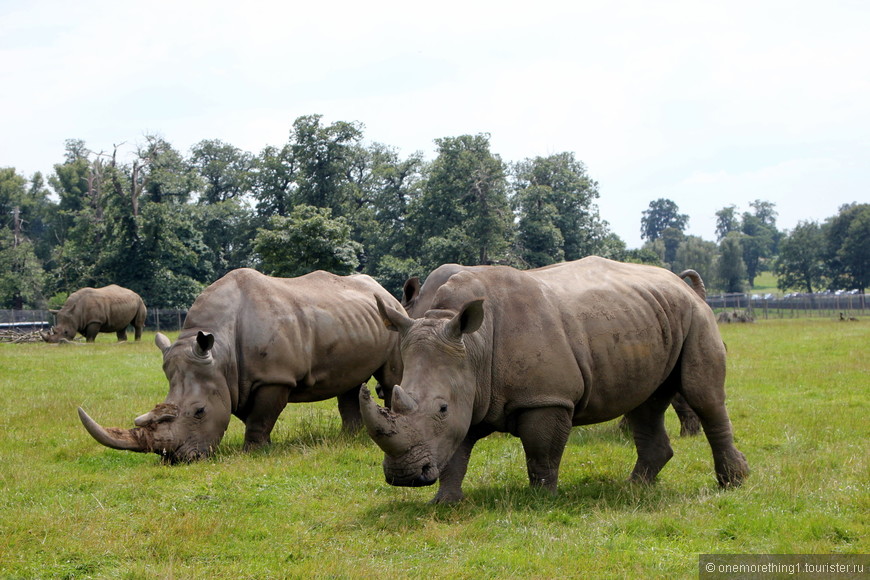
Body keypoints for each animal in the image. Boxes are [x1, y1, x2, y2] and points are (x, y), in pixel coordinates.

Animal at [76, 268, 404, 462]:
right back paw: (347, 438)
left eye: (199, 412)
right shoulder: (236, 380)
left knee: (389, 378)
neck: (221, 352)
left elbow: (261, 416)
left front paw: (253, 452)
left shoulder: (274, 377)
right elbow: (250, 414)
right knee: (349, 383)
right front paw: (261, 445)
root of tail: (384, 290)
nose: (175, 459)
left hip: (393, 315)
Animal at [364, 258, 752, 502]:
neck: (473, 346)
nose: (403, 476)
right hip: (651, 316)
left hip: (697, 317)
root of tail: (683, 286)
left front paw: (540, 501)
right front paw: (445, 503)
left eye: (441, 408)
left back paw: (733, 484)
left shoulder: (547, 397)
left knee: (704, 397)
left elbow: (541, 453)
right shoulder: (470, 392)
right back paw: (634, 489)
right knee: (645, 403)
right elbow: (456, 452)